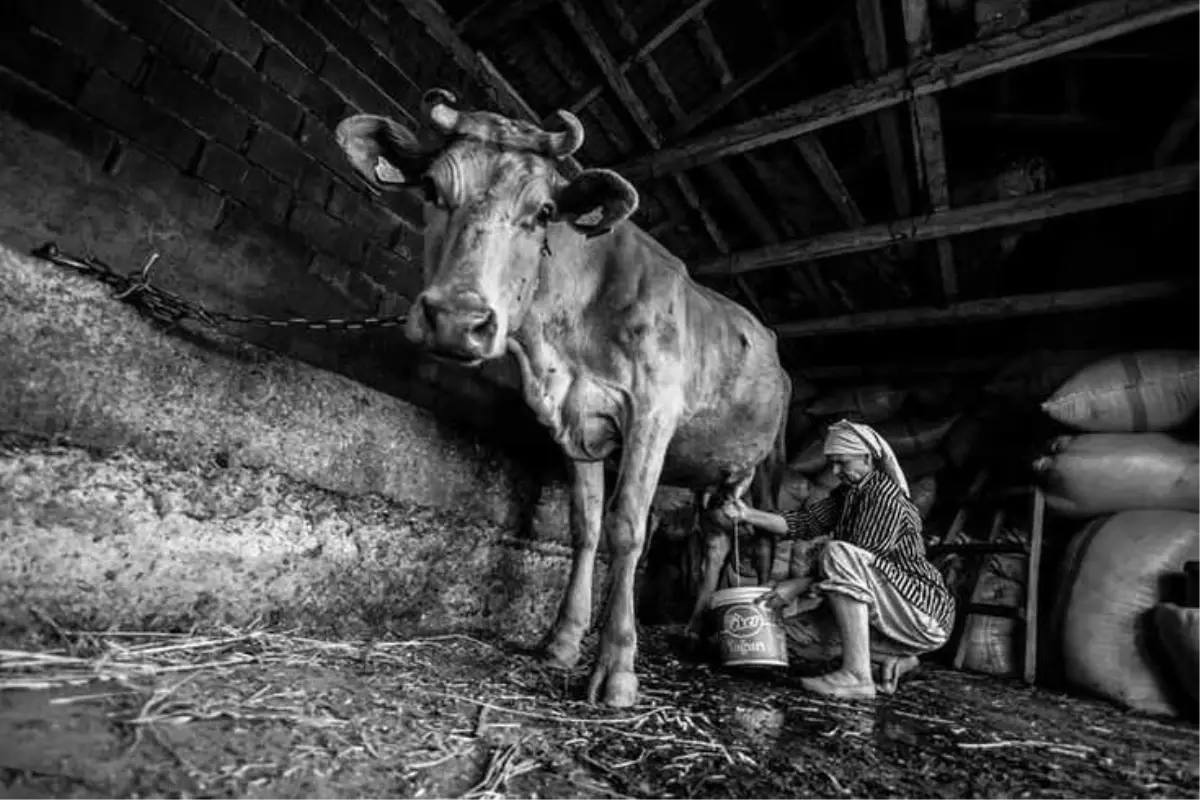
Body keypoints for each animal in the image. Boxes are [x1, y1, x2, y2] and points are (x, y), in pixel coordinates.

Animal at [333, 90, 792, 710]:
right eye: (430, 188)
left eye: (545, 211)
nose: (456, 319)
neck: (561, 345)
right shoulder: (576, 422)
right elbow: (585, 527)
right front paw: (563, 641)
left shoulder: (652, 412)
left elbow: (627, 528)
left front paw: (617, 666)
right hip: (711, 467)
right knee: (715, 534)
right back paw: (696, 628)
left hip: (762, 463)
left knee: (750, 534)